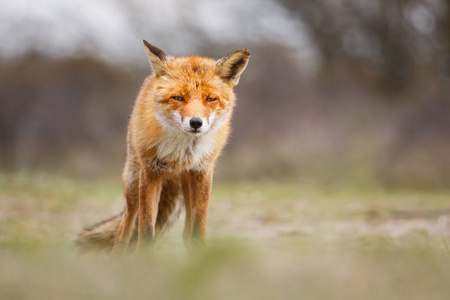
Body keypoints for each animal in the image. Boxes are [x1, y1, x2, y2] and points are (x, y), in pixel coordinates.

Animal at [75, 40, 248, 253]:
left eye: (210, 99)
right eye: (178, 98)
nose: (196, 123)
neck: (182, 151)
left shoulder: (203, 172)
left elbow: (198, 229)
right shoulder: (151, 172)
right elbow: (146, 230)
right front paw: (145, 258)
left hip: (186, 184)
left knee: (186, 233)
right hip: (133, 184)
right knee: (123, 229)